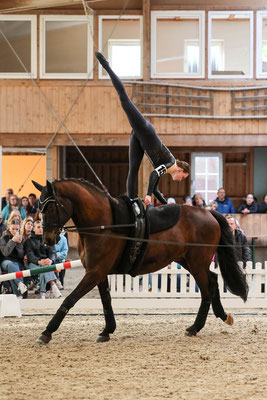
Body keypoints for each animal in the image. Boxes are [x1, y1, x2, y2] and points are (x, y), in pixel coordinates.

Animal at [31, 179, 249, 344]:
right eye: (40, 206)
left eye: (50, 206)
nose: (47, 239)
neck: (104, 224)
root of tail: (208, 212)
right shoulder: (99, 273)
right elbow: (106, 301)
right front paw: (107, 331)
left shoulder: (95, 272)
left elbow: (70, 299)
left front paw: (47, 332)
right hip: (188, 260)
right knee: (212, 281)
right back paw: (221, 316)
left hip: (196, 263)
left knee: (207, 289)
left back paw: (195, 327)